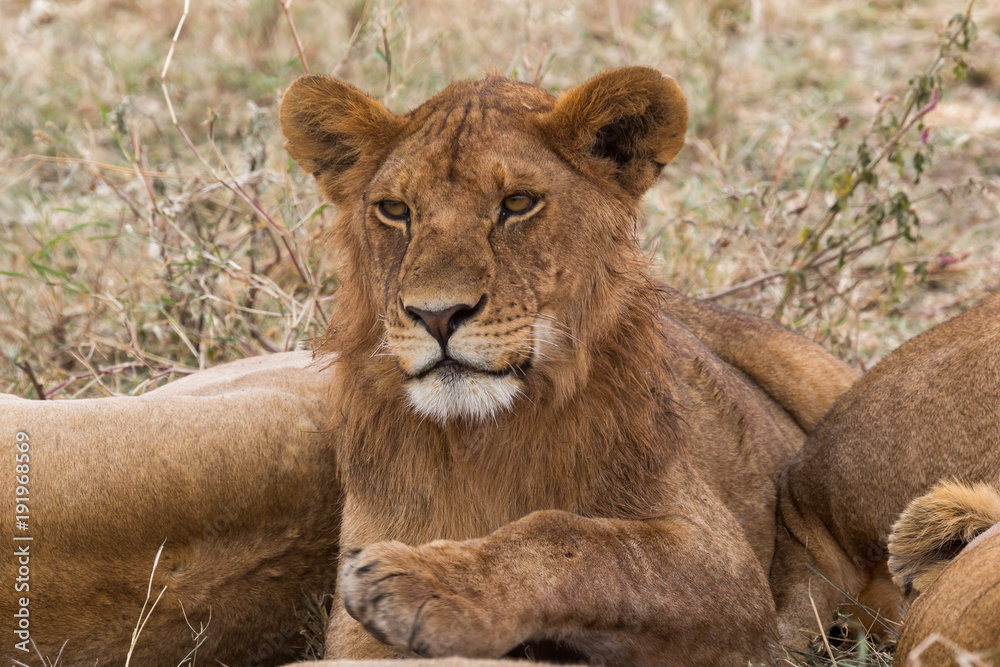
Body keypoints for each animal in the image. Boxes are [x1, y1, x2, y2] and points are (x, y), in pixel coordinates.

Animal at [278, 66, 856, 664]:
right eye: (395, 210)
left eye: (517, 202)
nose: (437, 315)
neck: (475, 438)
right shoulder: (353, 631)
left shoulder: (724, 566)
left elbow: (578, 541)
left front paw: (423, 581)